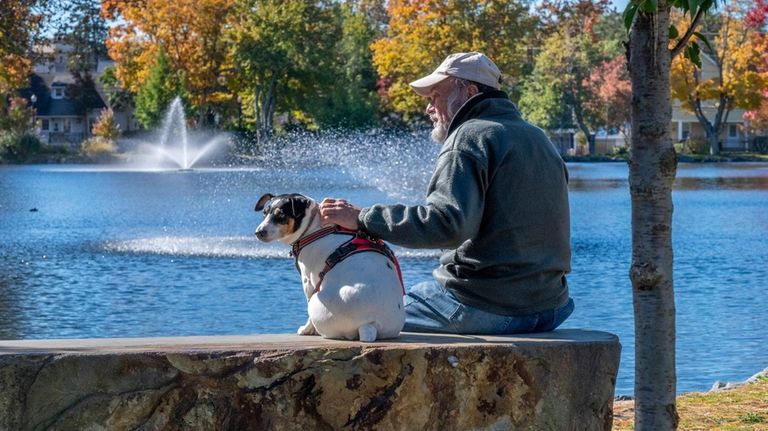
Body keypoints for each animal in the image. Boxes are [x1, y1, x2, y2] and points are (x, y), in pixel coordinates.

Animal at [254, 194, 408, 342]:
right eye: (264, 213)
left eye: (281, 215)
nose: (258, 232)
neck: (314, 226)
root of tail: (370, 325)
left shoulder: (308, 281)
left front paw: (306, 330)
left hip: (316, 301)